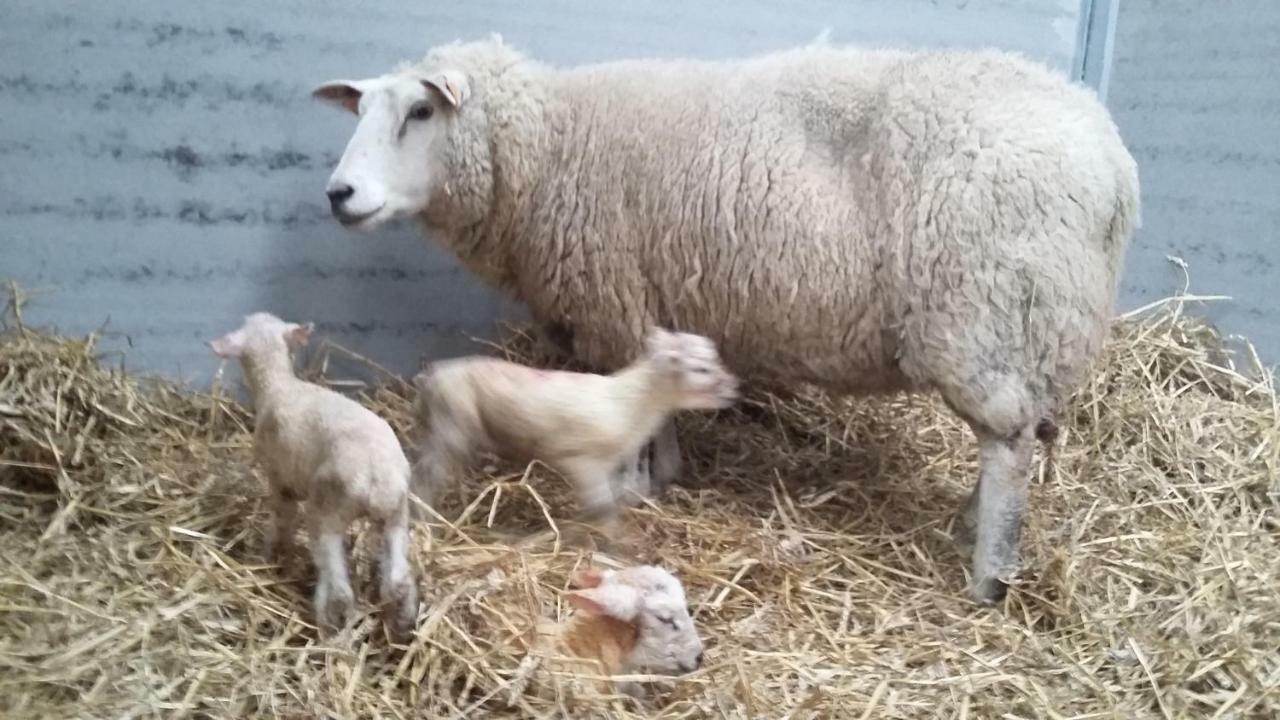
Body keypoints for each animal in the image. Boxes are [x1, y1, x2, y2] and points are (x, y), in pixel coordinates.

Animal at [209, 311, 417, 635]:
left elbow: (282, 521)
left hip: (328, 511)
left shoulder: (279, 478)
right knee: (398, 582)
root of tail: (375, 477)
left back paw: (329, 630)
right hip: (397, 512)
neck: (277, 384)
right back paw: (403, 626)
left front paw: (270, 556)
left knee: (340, 591)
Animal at [409, 326, 742, 520]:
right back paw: (424, 518)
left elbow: (613, 498)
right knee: (425, 476)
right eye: (701, 369)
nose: (734, 388)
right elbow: (602, 507)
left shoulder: (608, 465)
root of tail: (433, 375)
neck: (631, 400)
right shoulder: (582, 462)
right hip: (450, 430)